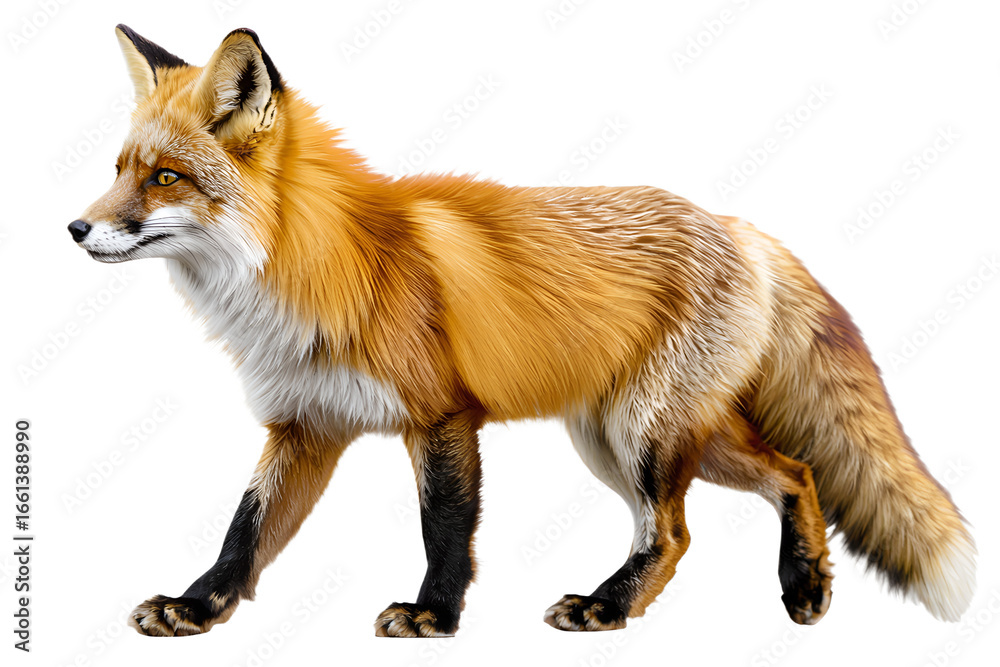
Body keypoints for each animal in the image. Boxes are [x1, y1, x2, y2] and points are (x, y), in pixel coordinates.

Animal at [68, 25, 976, 638]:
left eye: (165, 177)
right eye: (117, 170)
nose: (74, 229)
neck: (319, 265)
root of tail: (737, 225)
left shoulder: (440, 413)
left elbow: (445, 528)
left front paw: (433, 615)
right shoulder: (305, 425)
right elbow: (245, 528)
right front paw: (196, 605)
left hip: (645, 437)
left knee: (676, 530)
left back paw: (607, 606)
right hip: (634, 437)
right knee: (795, 471)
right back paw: (805, 583)